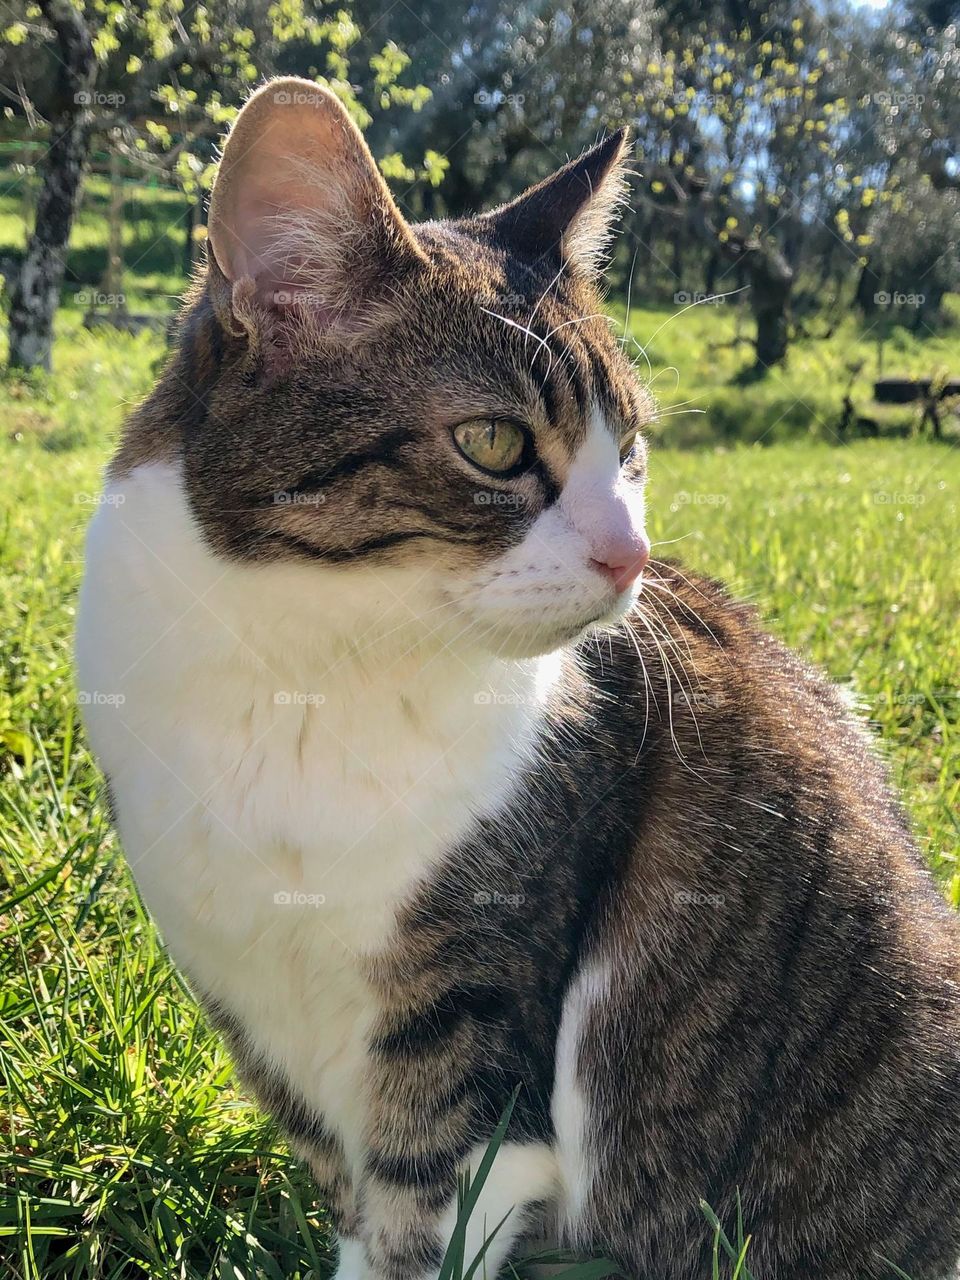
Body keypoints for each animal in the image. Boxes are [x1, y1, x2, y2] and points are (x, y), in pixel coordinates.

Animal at [75, 77, 960, 1280]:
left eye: (627, 448)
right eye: (492, 443)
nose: (632, 555)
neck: (303, 673)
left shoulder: (472, 1032)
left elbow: (420, 1221)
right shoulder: (258, 1008)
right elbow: (353, 1199)